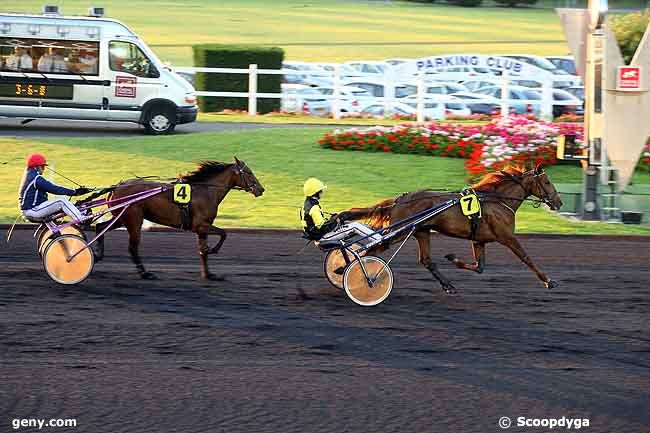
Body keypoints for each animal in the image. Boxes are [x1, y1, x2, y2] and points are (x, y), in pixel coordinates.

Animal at [92, 158, 264, 280]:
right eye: (249, 172)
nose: (261, 189)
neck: (206, 191)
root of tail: (117, 186)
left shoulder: (202, 228)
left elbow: (203, 251)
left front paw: (209, 274)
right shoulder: (200, 225)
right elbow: (223, 233)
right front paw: (213, 249)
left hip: (121, 218)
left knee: (100, 227)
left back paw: (98, 254)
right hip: (134, 220)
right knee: (133, 247)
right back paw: (144, 273)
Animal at [344, 165, 560, 294]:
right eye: (547, 182)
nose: (559, 202)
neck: (498, 200)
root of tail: (400, 199)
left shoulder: (479, 239)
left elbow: (479, 267)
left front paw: (452, 258)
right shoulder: (506, 236)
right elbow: (526, 257)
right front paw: (548, 280)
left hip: (421, 231)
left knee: (426, 260)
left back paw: (448, 285)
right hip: (400, 232)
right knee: (369, 250)